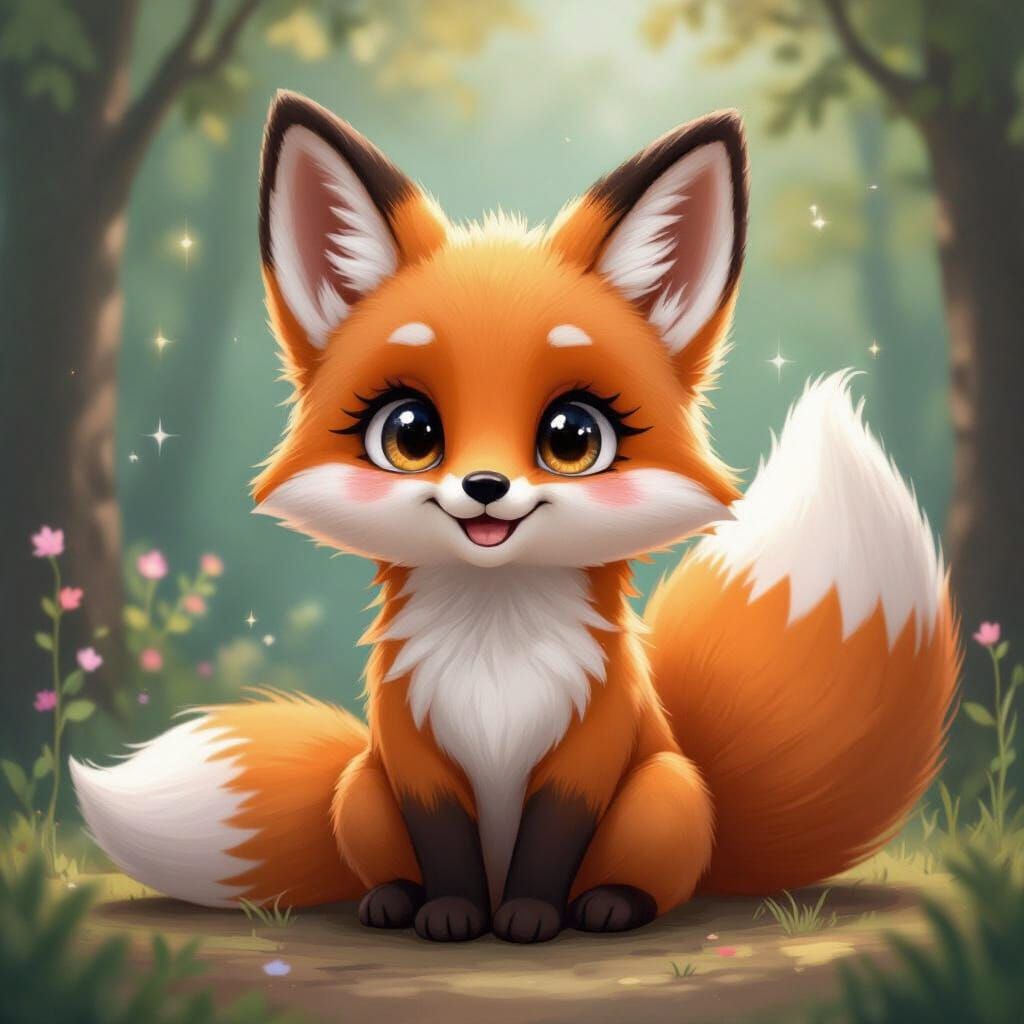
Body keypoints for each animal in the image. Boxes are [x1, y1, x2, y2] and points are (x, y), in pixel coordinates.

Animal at [71, 91, 959, 944]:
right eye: (410, 433)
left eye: (572, 438)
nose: (486, 486)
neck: (493, 647)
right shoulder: (415, 754)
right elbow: (446, 847)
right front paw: (454, 918)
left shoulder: (588, 749)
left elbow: (548, 844)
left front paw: (529, 919)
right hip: (362, 786)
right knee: (383, 860)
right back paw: (391, 901)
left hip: (664, 791)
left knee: (653, 882)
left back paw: (610, 907)